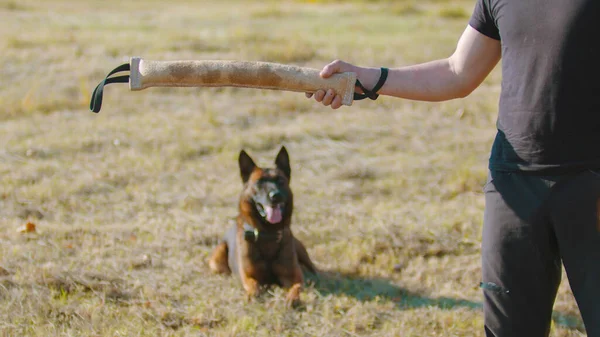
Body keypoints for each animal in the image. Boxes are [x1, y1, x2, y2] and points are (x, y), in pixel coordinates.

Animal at [209, 146, 316, 306]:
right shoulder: (249, 276)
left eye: (280, 181)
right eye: (259, 183)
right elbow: (254, 288)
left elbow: (296, 287)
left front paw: (292, 298)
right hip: (216, 261)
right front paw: (255, 295)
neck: (268, 233)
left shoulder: (293, 276)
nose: (275, 195)